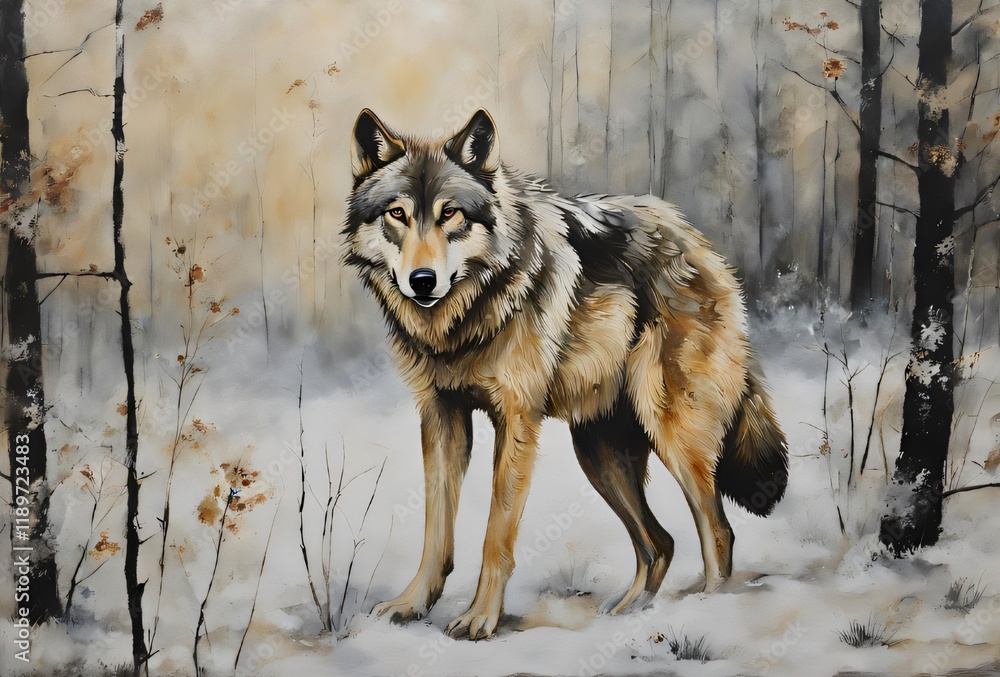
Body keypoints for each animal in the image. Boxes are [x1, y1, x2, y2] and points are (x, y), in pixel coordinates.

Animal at [343, 108, 788, 640]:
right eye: (397, 214)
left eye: (450, 214)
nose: (423, 281)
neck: (464, 322)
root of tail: (703, 245)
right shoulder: (440, 416)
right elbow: (436, 529)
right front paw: (412, 604)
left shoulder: (516, 420)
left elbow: (496, 535)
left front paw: (480, 619)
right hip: (598, 453)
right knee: (659, 543)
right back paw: (626, 614)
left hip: (671, 433)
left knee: (717, 530)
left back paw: (708, 612)